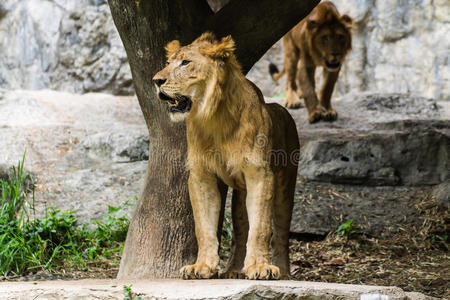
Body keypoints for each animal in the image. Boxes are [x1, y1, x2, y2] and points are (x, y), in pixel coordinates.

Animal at [153, 31, 300, 280]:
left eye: (185, 62)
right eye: (168, 62)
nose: (156, 81)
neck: (215, 118)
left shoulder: (260, 174)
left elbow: (261, 227)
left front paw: (260, 267)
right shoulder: (201, 175)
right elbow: (204, 226)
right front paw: (201, 266)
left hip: (285, 185)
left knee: (280, 231)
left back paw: (283, 272)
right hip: (240, 195)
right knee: (240, 230)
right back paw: (234, 270)